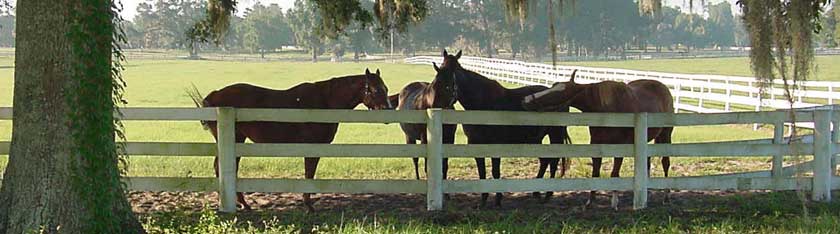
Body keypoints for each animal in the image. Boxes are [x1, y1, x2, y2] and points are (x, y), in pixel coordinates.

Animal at [189, 68, 392, 211]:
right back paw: (240, 203)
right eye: (375, 89)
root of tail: (215, 95)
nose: (388, 109)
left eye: (386, 88)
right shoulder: (312, 147)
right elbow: (309, 173)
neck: (324, 102)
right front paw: (308, 205)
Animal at [440, 49, 572, 207]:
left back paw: (548, 194)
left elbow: (495, 172)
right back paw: (536, 192)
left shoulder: (496, 145)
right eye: (439, 69)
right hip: (536, 139)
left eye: (453, 72)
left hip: (555, 135)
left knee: (553, 160)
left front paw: (497, 199)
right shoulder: (475, 144)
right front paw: (483, 201)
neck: (482, 104)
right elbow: (482, 172)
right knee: (545, 161)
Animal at [520, 69, 676, 208]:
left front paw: (614, 202)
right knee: (648, 163)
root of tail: (663, 88)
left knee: (665, 162)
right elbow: (595, 172)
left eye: (560, 93)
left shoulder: (619, 148)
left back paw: (666, 196)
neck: (606, 109)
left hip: (666, 135)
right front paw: (590, 201)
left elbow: (614, 173)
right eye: (553, 85)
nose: (526, 100)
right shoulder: (596, 144)